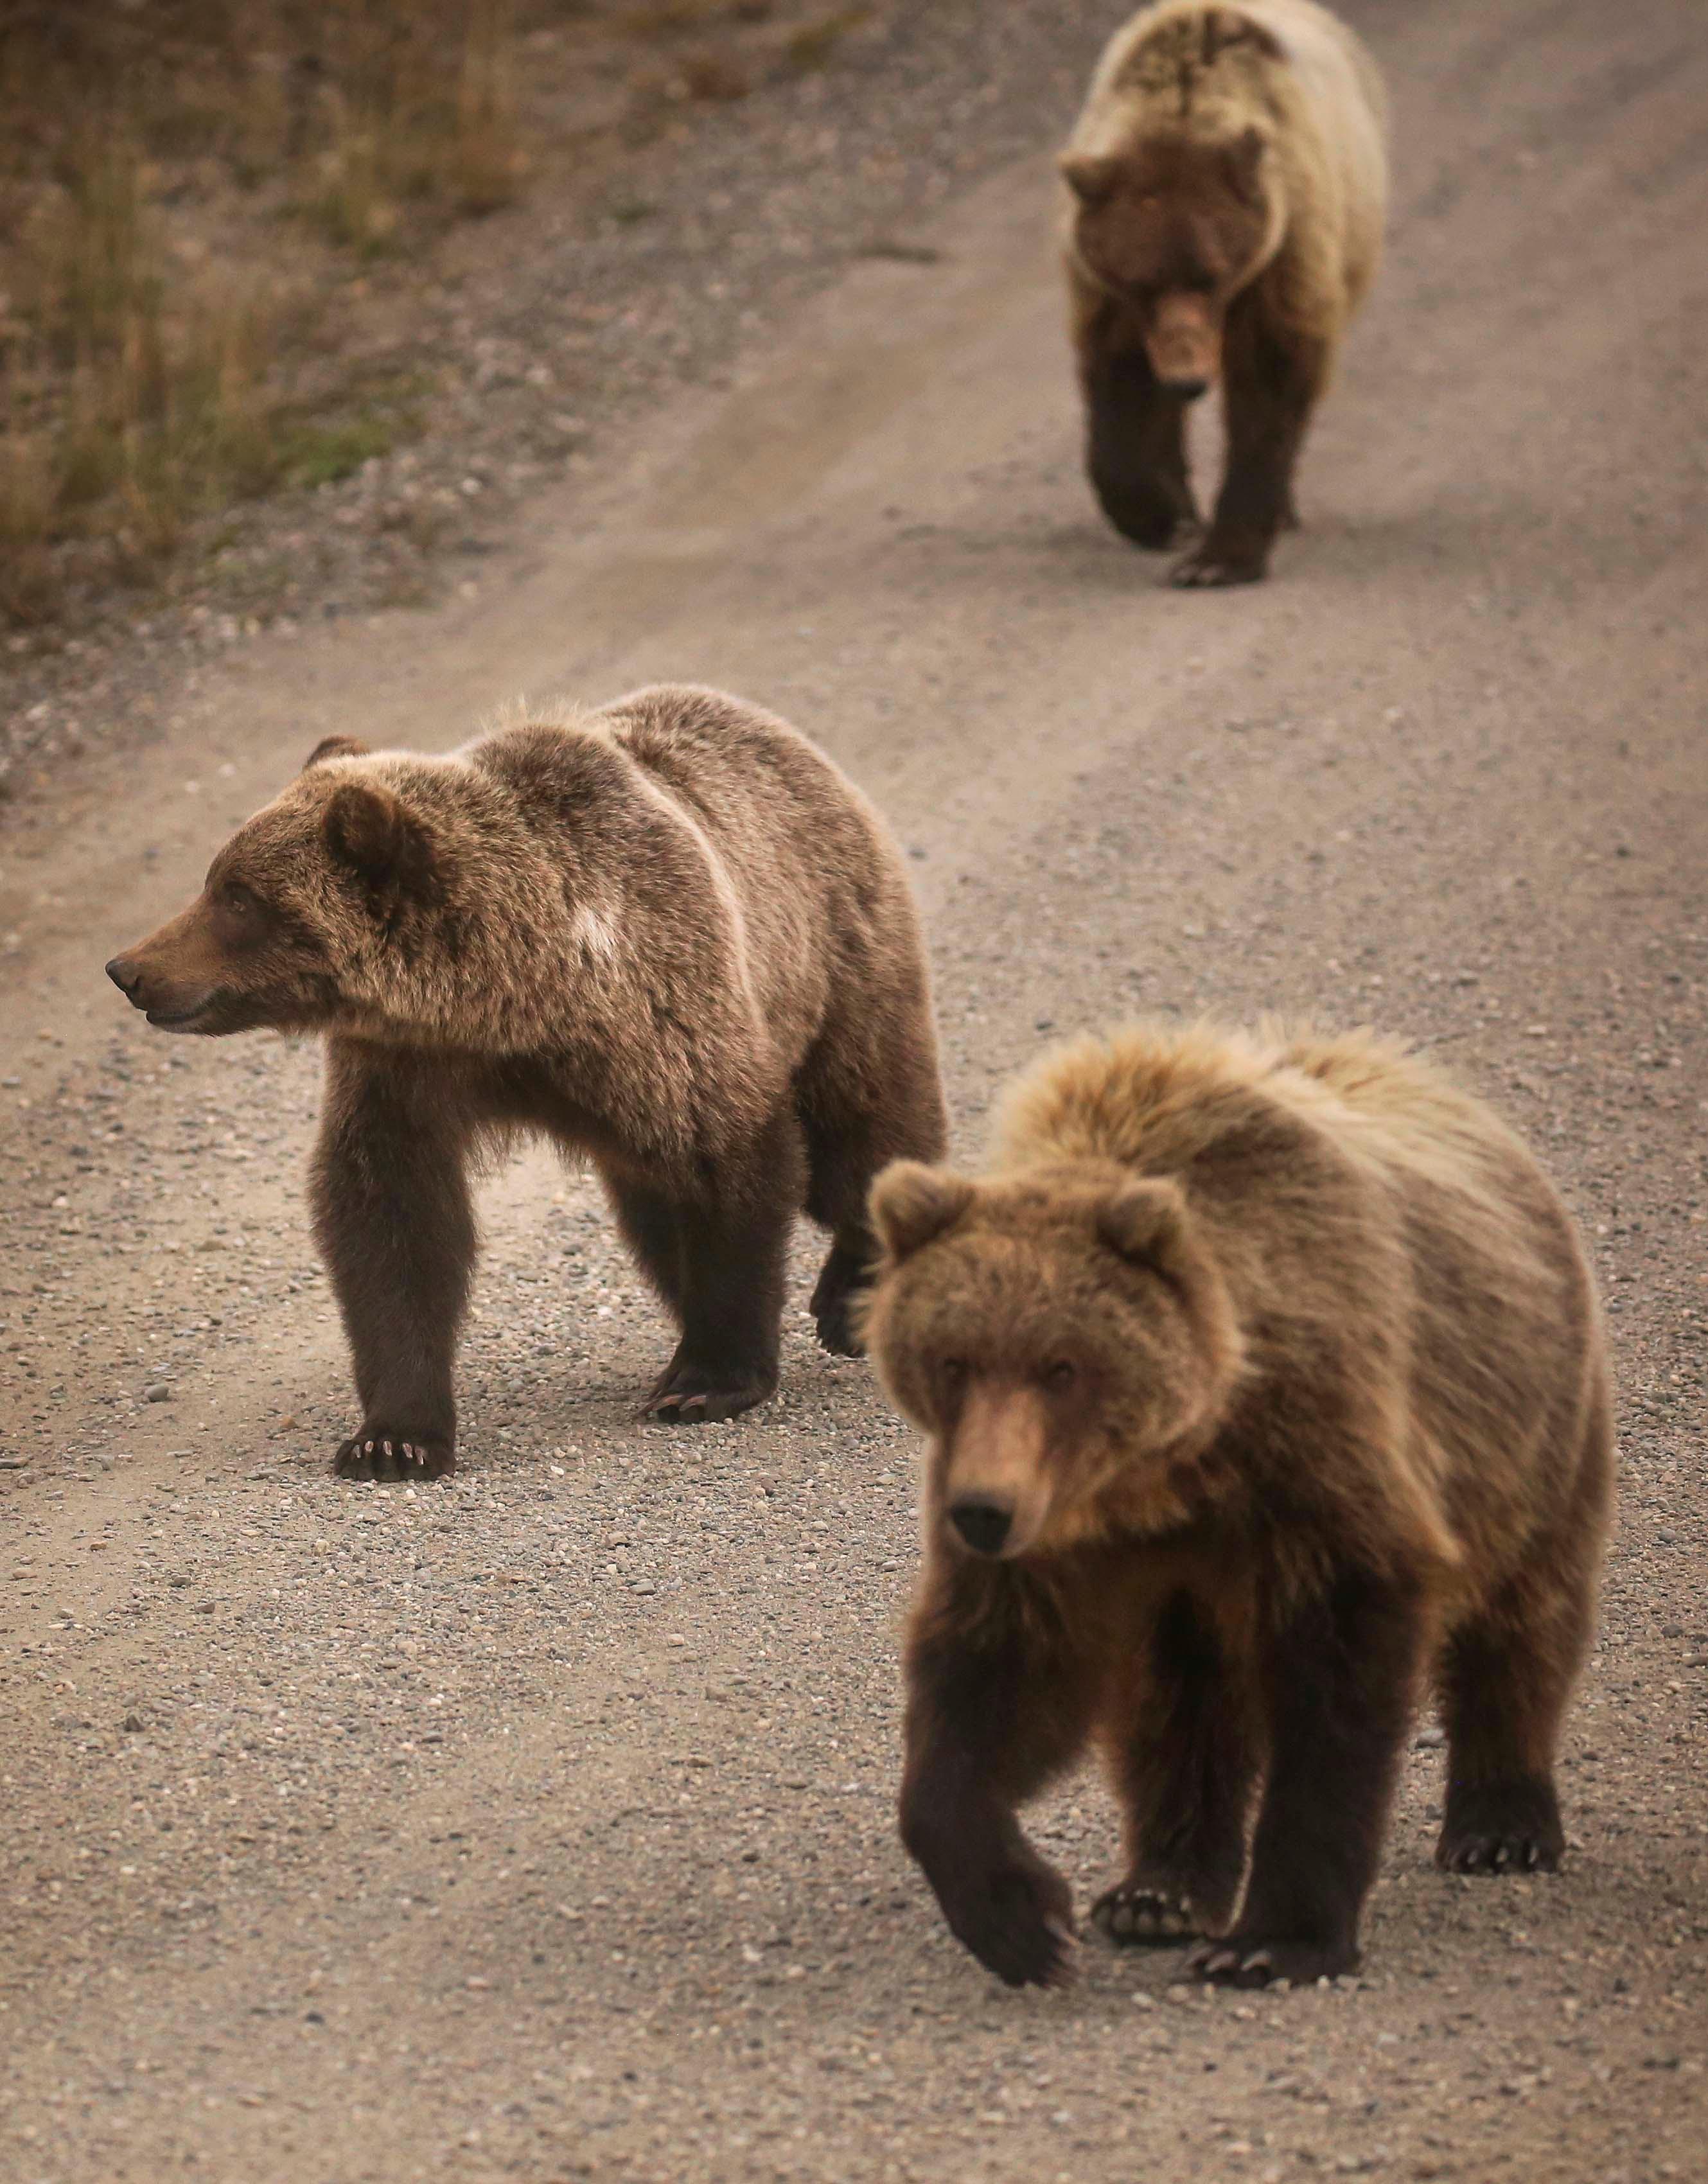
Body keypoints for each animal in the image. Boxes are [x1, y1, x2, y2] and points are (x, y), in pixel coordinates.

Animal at [106, 683, 948, 1479]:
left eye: (239, 897)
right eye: (217, 880)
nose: (129, 969)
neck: (513, 998)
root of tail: (783, 735)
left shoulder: (665, 1005)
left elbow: (730, 1161)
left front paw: (706, 1379)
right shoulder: (406, 1067)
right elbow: (391, 1218)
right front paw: (394, 1438)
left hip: (833, 957)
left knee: (860, 1127)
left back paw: (850, 1293)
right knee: (656, 1204)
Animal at [860, 1021, 1613, 1989]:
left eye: (1062, 1365)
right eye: (952, 1359)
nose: (982, 1512)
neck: (1173, 1468)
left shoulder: (1317, 1471)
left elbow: (1336, 1693)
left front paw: (1273, 1939)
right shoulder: (1060, 1529)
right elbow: (995, 1677)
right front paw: (1021, 1917)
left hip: (1531, 1428)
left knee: (1523, 1617)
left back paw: (1500, 1823)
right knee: (1177, 1699)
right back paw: (1158, 1888)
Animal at [1059, 0, 1387, 585]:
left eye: (1211, 275)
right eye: (1141, 281)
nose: (1187, 381)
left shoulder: (1282, 254)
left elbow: (1269, 384)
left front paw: (1216, 559)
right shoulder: (1109, 292)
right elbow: (1118, 381)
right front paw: (1158, 516)